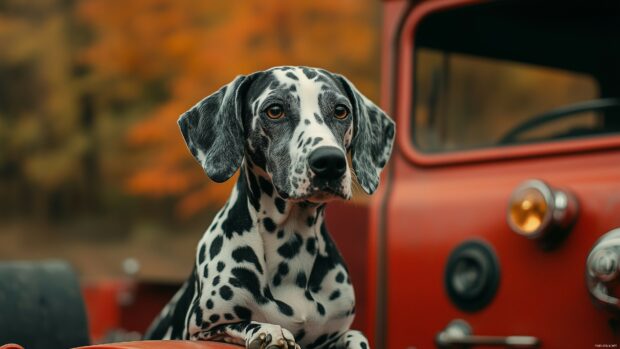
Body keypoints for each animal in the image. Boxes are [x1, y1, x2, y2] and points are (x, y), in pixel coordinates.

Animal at [145, 66, 394, 348]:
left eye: (341, 110)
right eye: (275, 110)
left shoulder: (335, 335)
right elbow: (241, 324)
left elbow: (356, 335)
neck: (292, 242)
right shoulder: (200, 329)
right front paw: (270, 333)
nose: (330, 161)